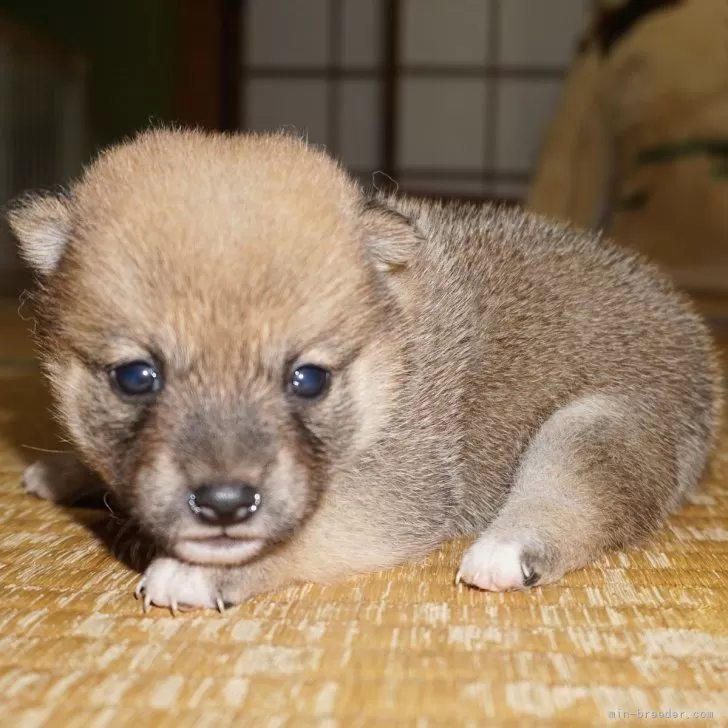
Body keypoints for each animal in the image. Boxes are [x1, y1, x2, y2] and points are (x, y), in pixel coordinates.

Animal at [7, 129, 724, 608]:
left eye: (308, 380)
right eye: (136, 377)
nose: (226, 503)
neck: (388, 358)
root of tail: (690, 336)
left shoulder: (389, 498)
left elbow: (307, 533)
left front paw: (200, 570)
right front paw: (71, 469)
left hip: (594, 426)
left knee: (572, 500)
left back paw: (506, 549)